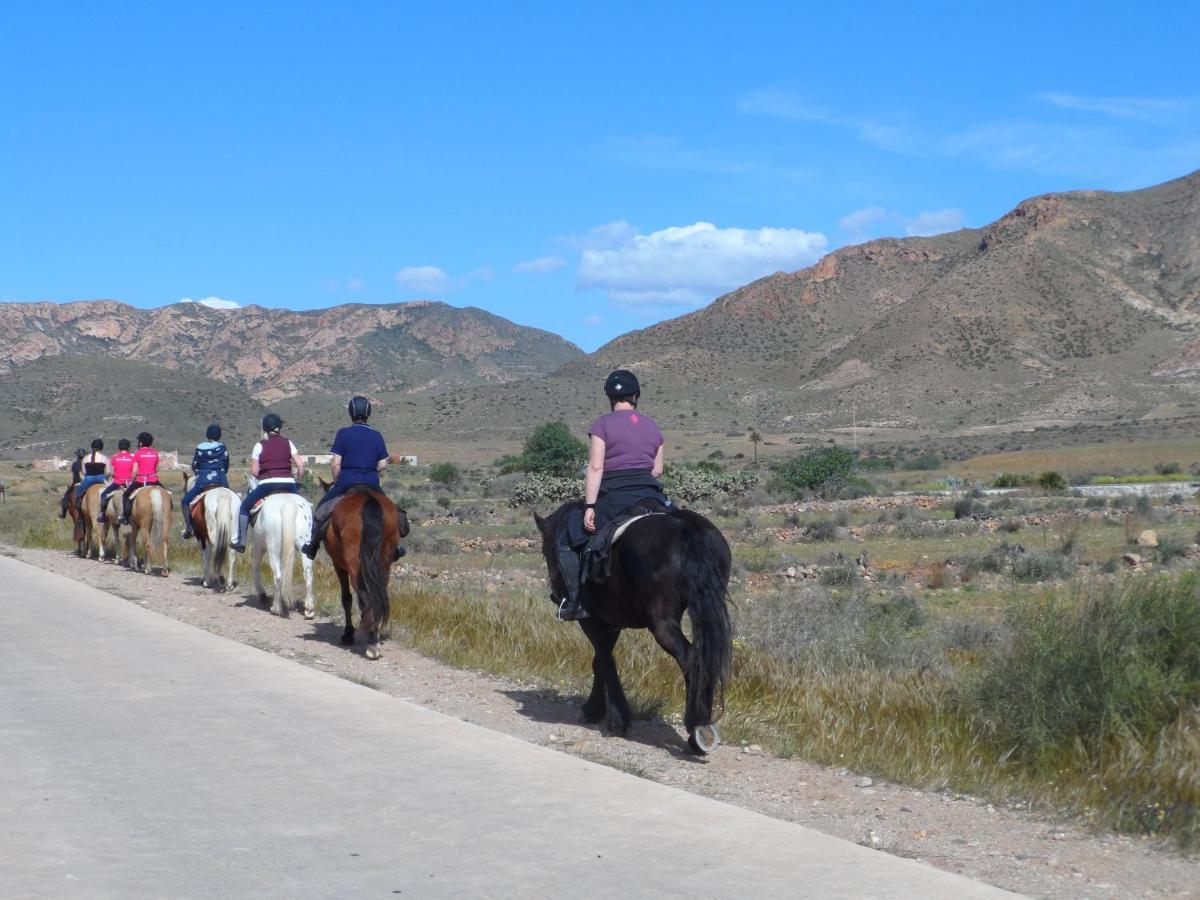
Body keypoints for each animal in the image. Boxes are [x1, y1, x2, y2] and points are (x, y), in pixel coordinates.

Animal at [244, 487, 316, 619]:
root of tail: (288, 503)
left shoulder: (258, 547)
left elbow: (255, 567)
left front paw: (262, 594)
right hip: (305, 545)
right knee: (308, 574)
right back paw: (309, 609)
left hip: (273, 549)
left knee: (278, 576)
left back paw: (276, 608)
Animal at [324, 489, 412, 657]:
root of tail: (368, 499)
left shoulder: (338, 564)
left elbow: (346, 598)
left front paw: (348, 634)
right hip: (384, 562)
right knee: (378, 596)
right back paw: (374, 636)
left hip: (353, 563)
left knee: (365, 597)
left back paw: (371, 642)